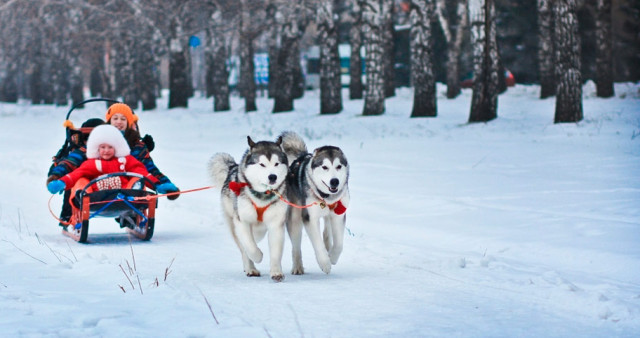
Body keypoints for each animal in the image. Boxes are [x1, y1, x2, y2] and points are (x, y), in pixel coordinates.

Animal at [209, 136, 288, 282]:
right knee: (243, 248)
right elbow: (250, 247)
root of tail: (232, 168)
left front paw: (276, 272)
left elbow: (275, 251)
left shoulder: (276, 224)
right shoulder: (242, 222)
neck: (262, 195)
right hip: (233, 224)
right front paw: (258, 256)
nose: (272, 176)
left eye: (276, 164)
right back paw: (251, 268)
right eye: (262, 164)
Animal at [280, 130, 350, 274]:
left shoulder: (339, 213)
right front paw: (325, 263)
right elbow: (317, 243)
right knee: (296, 246)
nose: (334, 181)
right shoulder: (310, 217)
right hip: (295, 217)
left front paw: (332, 257)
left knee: (327, 229)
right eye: (325, 167)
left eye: (339, 166)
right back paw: (297, 267)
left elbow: (339, 244)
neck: (326, 198)